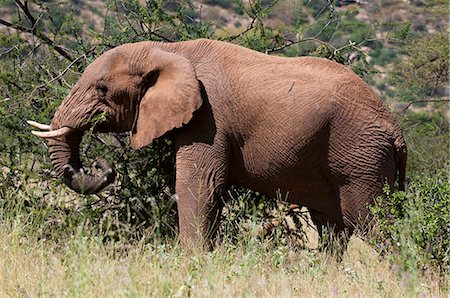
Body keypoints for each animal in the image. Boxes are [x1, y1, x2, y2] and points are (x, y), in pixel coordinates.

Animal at [29, 38, 406, 250]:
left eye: (102, 89)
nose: (102, 167)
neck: (169, 52)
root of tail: (395, 129)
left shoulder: (209, 118)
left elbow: (200, 184)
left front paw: (193, 262)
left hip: (361, 155)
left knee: (374, 223)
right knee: (331, 228)